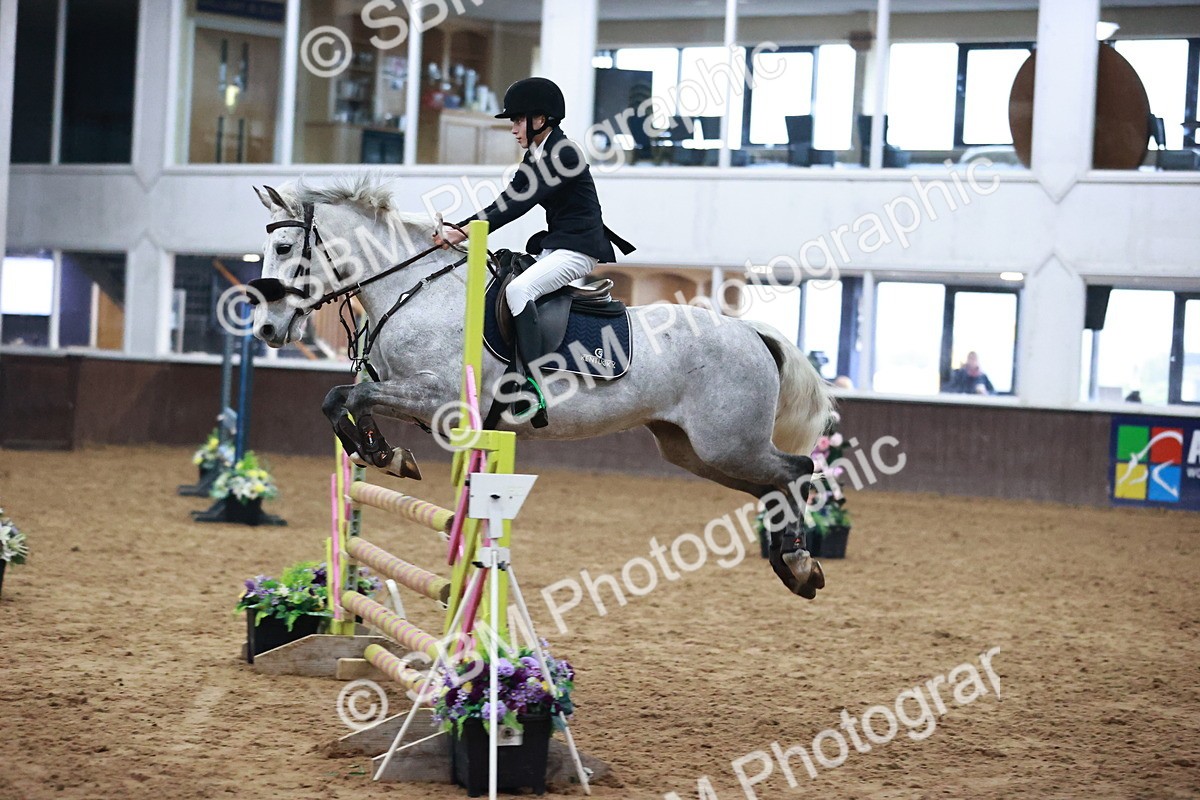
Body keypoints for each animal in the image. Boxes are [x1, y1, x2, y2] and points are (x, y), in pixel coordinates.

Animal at [248, 177, 832, 599]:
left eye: (284, 246)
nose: (267, 330)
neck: (415, 290)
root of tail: (751, 331)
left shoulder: (439, 400)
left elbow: (351, 397)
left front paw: (382, 453)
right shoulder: (406, 392)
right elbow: (343, 399)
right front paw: (382, 452)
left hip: (726, 444)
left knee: (795, 470)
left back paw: (800, 563)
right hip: (692, 450)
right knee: (770, 486)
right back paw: (792, 564)